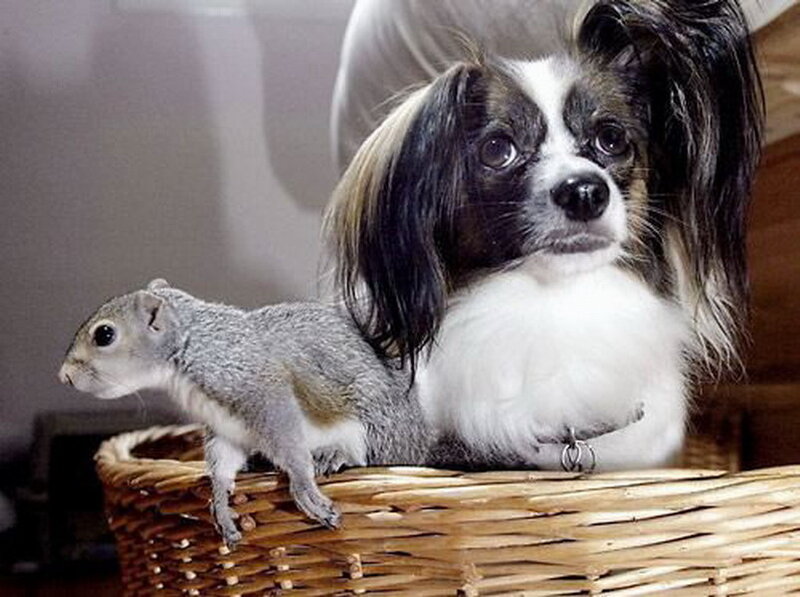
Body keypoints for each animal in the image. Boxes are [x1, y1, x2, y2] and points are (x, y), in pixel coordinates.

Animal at [59, 279, 430, 546]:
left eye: (105, 334)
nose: (64, 376)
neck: (191, 345)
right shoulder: (225, 426)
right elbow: (223, 462)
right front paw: (220, 501)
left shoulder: (258, 389)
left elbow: (288, 442)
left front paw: (302, 483)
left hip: (374, 425)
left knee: (367, 453)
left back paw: (333, 455)